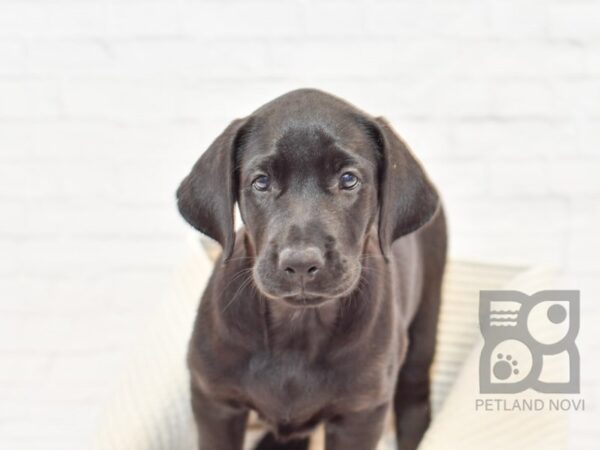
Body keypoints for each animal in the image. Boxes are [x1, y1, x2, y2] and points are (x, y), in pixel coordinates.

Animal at [177, 89, 446, 450]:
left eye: (348, 180)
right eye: (261, 182)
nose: (301, 263)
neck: (298, 328)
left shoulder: (360, 414)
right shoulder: (214, 401)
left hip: (426, 314)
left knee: (415, 394)